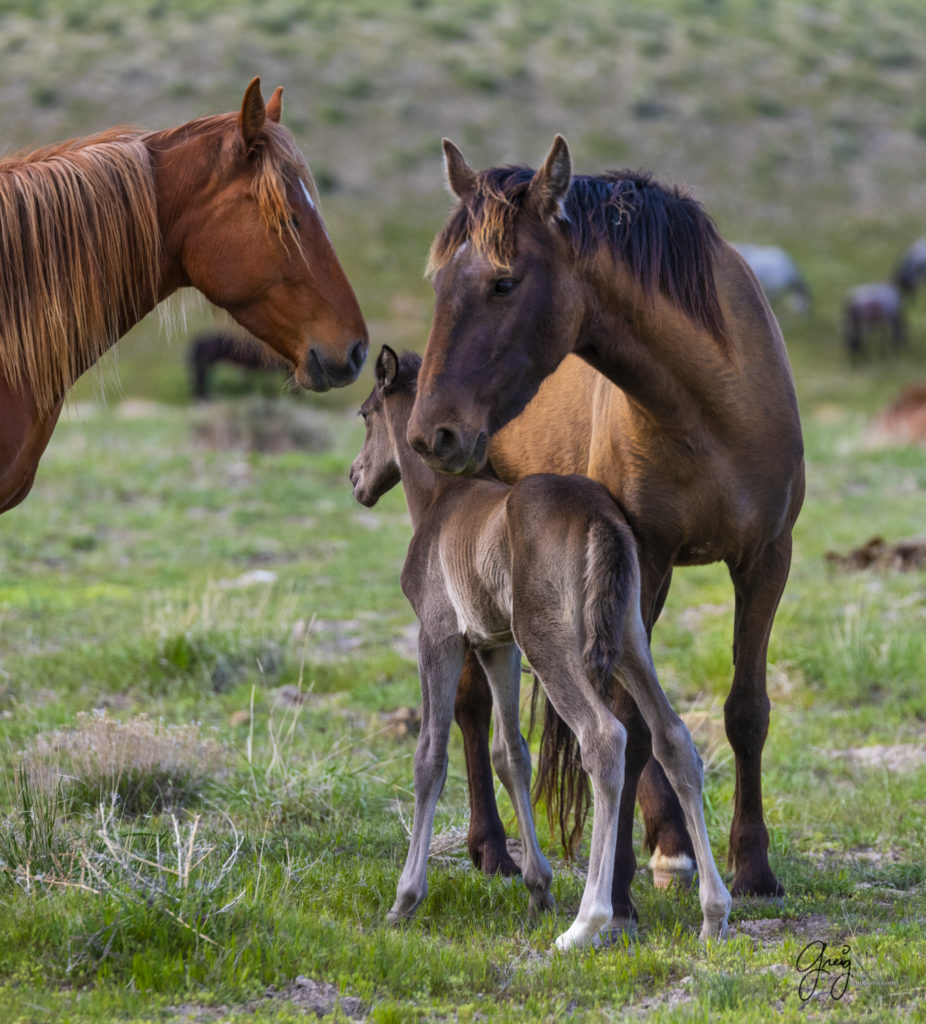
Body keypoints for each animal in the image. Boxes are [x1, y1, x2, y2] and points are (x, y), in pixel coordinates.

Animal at [348, 346, 729, 950]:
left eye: (365, 415)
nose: (355, 479)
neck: (442, 500)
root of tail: (599, 516)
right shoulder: (495, 645)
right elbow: (512, 753)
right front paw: (538, 889)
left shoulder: (438, 634)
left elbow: (430, 756)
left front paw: (405, 899)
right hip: (628, 639)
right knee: (674, 738)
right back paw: (714, 913)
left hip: (549, 643)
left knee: (604, 738)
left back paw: (588, 921)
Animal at [405, 136, 803, 937]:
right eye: (439, 285)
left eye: (504, 283)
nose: (432, 433)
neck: (712, 406)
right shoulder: (642, 557)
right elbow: (628, 724)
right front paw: (612, 892)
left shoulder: (765, 561)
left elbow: (745, 710)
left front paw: (753, 869)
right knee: (472, 704)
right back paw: (493, 848)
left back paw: (670, 844)